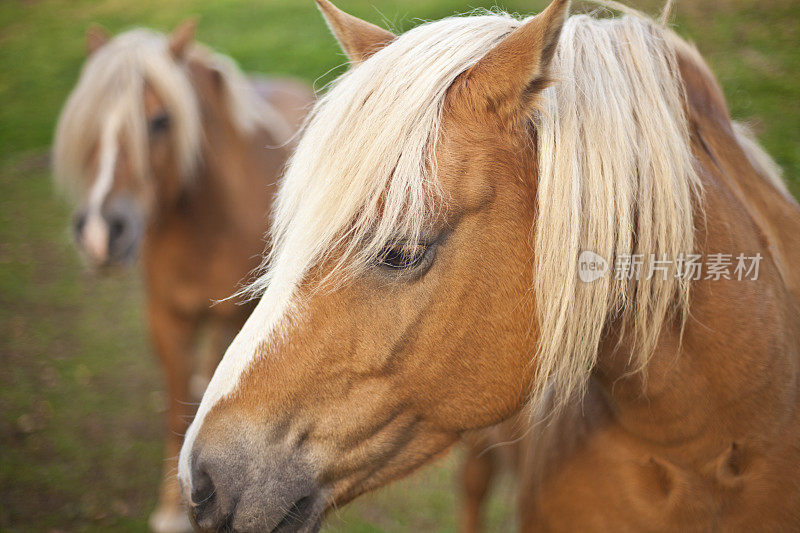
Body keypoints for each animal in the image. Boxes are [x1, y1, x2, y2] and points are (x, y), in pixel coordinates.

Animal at [51, 20, 314, 532]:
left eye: (160, 121)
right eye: (89, 125)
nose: (99, 231)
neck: (204, 225)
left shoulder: (230, 317)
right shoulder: (165, 317)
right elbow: (176, 412)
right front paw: (171, 508)